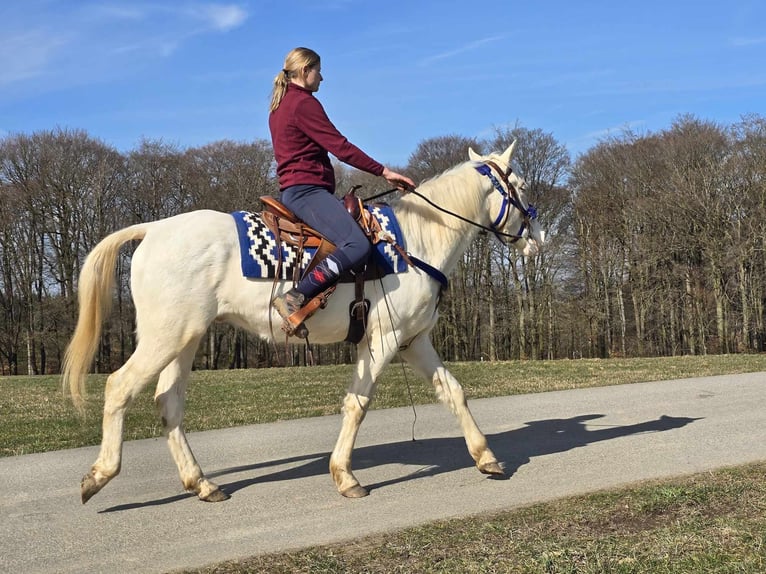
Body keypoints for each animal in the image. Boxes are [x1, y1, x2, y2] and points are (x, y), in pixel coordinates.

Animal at [64, 142, 544, 506]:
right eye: (519, 186)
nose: (538, 240)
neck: (413, 243)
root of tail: (153, 229)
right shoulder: (382, 339)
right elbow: (357, 404)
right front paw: (345, 475)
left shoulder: (414, 341)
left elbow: (453, 392)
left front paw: (485, 457)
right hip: (165, 338)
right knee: (119, 387)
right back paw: (99, 475)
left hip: (185, 339)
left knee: (168, 403)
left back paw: (201, 483)